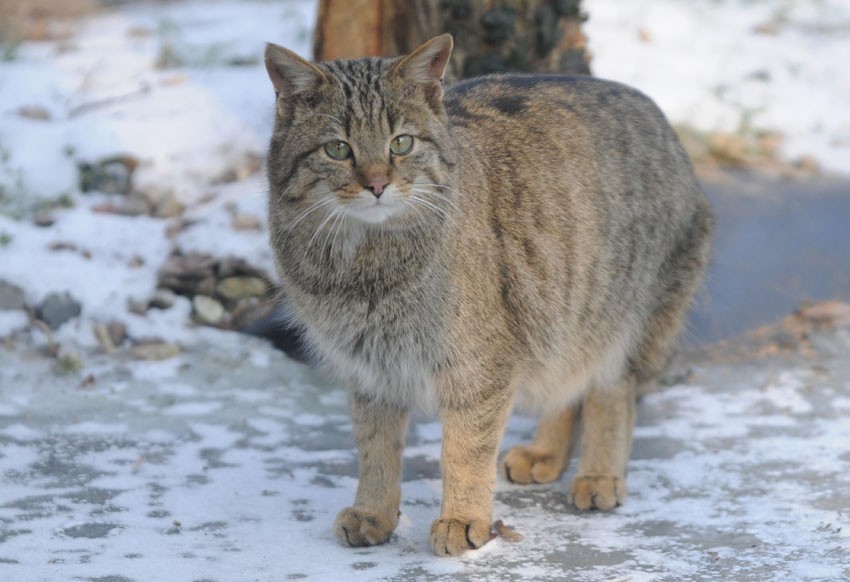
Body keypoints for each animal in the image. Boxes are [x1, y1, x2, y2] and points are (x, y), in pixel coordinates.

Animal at [264, 34, 708, 560]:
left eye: (401, 143)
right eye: (338, 149)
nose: (376, 184)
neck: (365, 267)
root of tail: (657, 113)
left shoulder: (478, 368)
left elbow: (465, 450)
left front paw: (463, 518)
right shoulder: (371, 371)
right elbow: (375, 450)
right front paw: (374, 512)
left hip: (621, 318)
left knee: (610, 392)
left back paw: (599, 473)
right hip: (560, 316)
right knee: (568, 386)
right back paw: (546, 453)